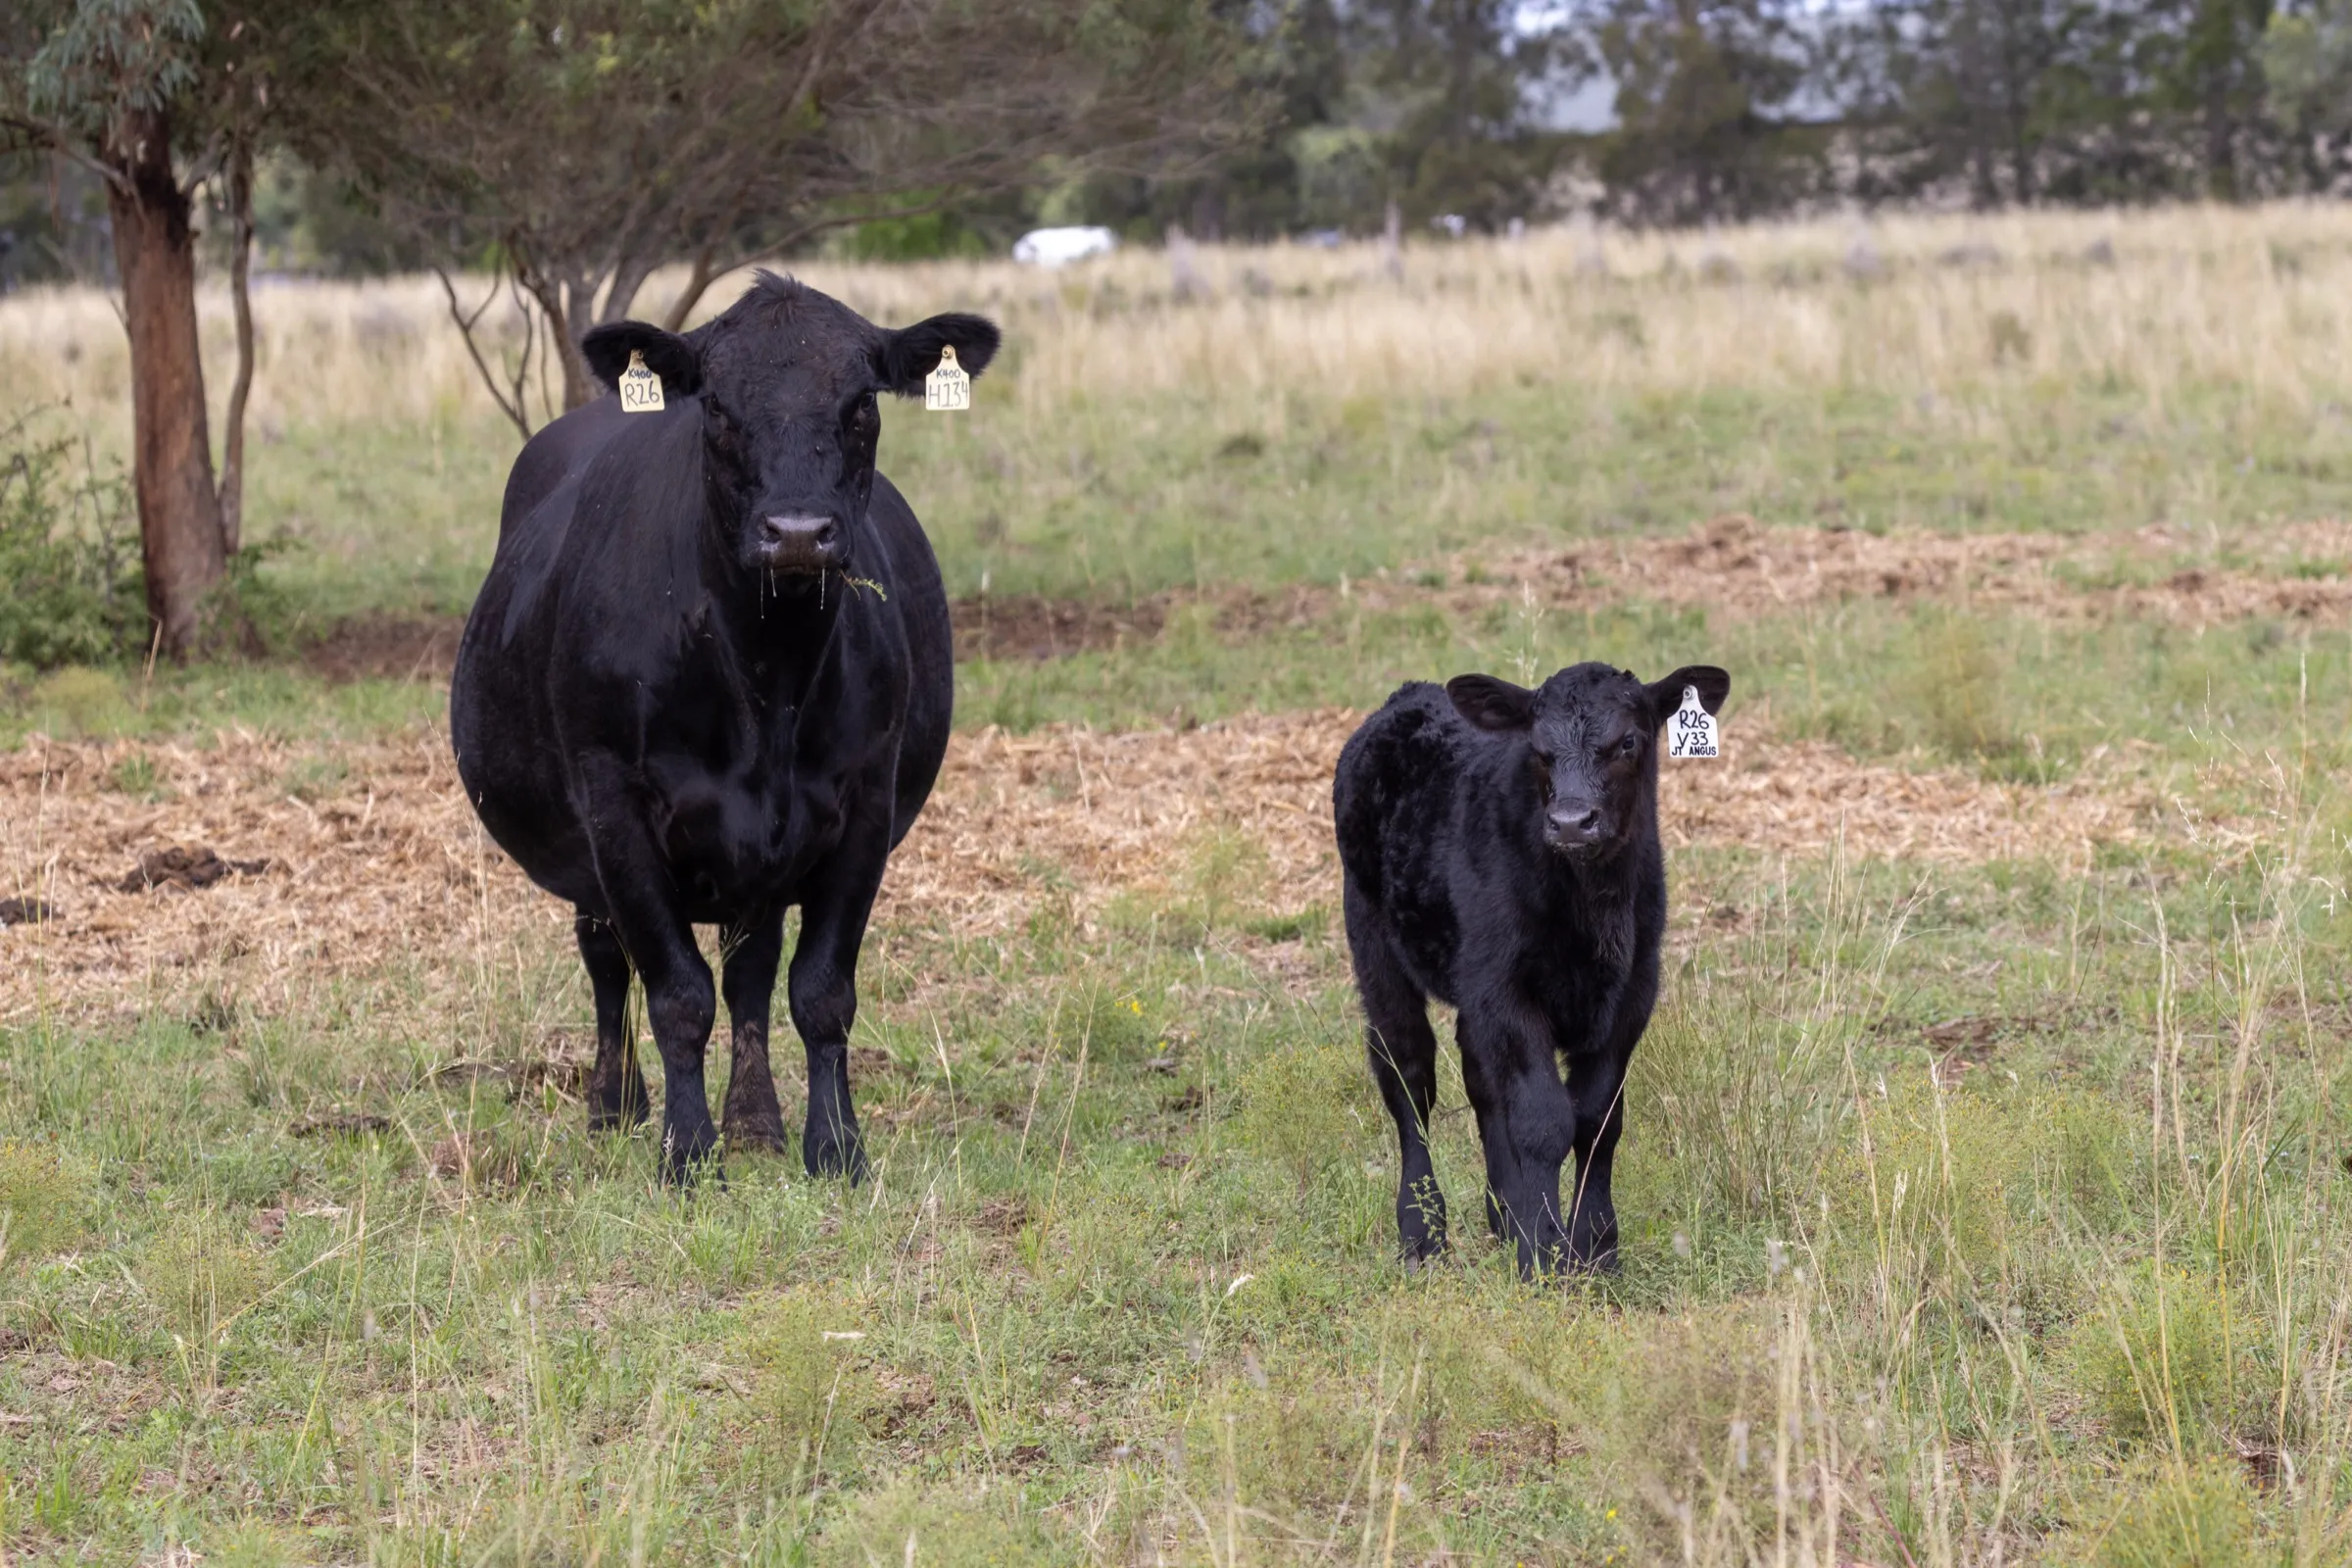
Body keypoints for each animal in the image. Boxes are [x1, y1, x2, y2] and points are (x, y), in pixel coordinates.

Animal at [450, 272, 998, 1182]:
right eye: (715, 406)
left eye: (860, 402)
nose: (798, 533)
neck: (766, 677)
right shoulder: (615, 809)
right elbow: (676, 992)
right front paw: (685, 1153)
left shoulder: (864, 805)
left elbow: (818, 991)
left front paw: (834, 1146)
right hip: (587, 849)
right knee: (608, 962)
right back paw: (616, 1106)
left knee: (750, 970)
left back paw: (755, 1120)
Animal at [1332, 662, 1731, 1277]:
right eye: (1539, 749)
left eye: (1629, 741)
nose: (1570, 822)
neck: (1594, 910)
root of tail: (1409, 697)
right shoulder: (1509, 990)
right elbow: (1544, 1121)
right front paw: (1542, 1254)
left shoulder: (1632, 993)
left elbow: (1597, 1120)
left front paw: (1595, 1247)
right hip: (1376, 948)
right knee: (1408, 1079)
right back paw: (1423, 1232)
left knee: (1479, 1079)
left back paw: (1503, 1214)